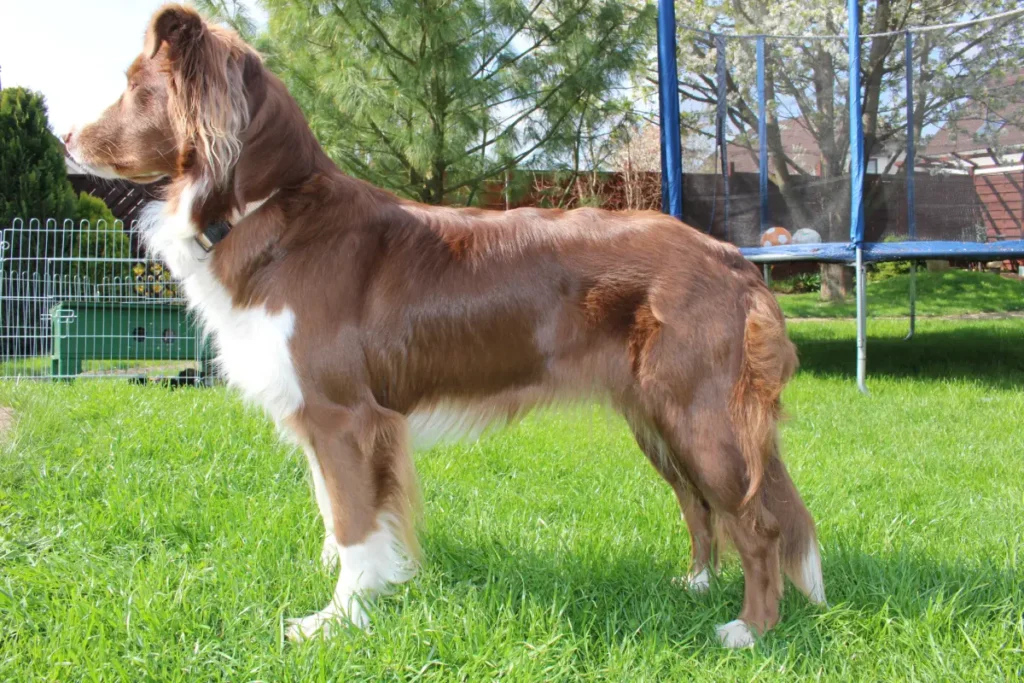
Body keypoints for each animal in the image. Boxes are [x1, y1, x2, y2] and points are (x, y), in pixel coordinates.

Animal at [66, 3, 823, 647]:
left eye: (135, 88)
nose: (66, 136)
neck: (271, 207)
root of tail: (730, 258)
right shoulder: (323, 417)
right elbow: (337, 514)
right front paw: (364, 588)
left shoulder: (345, 415)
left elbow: (352, 518)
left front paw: (337, 619)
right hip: (658, 418)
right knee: (701, 506)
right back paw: (694, 586)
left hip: (700, 415)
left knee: (757, 522)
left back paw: (747, 629)